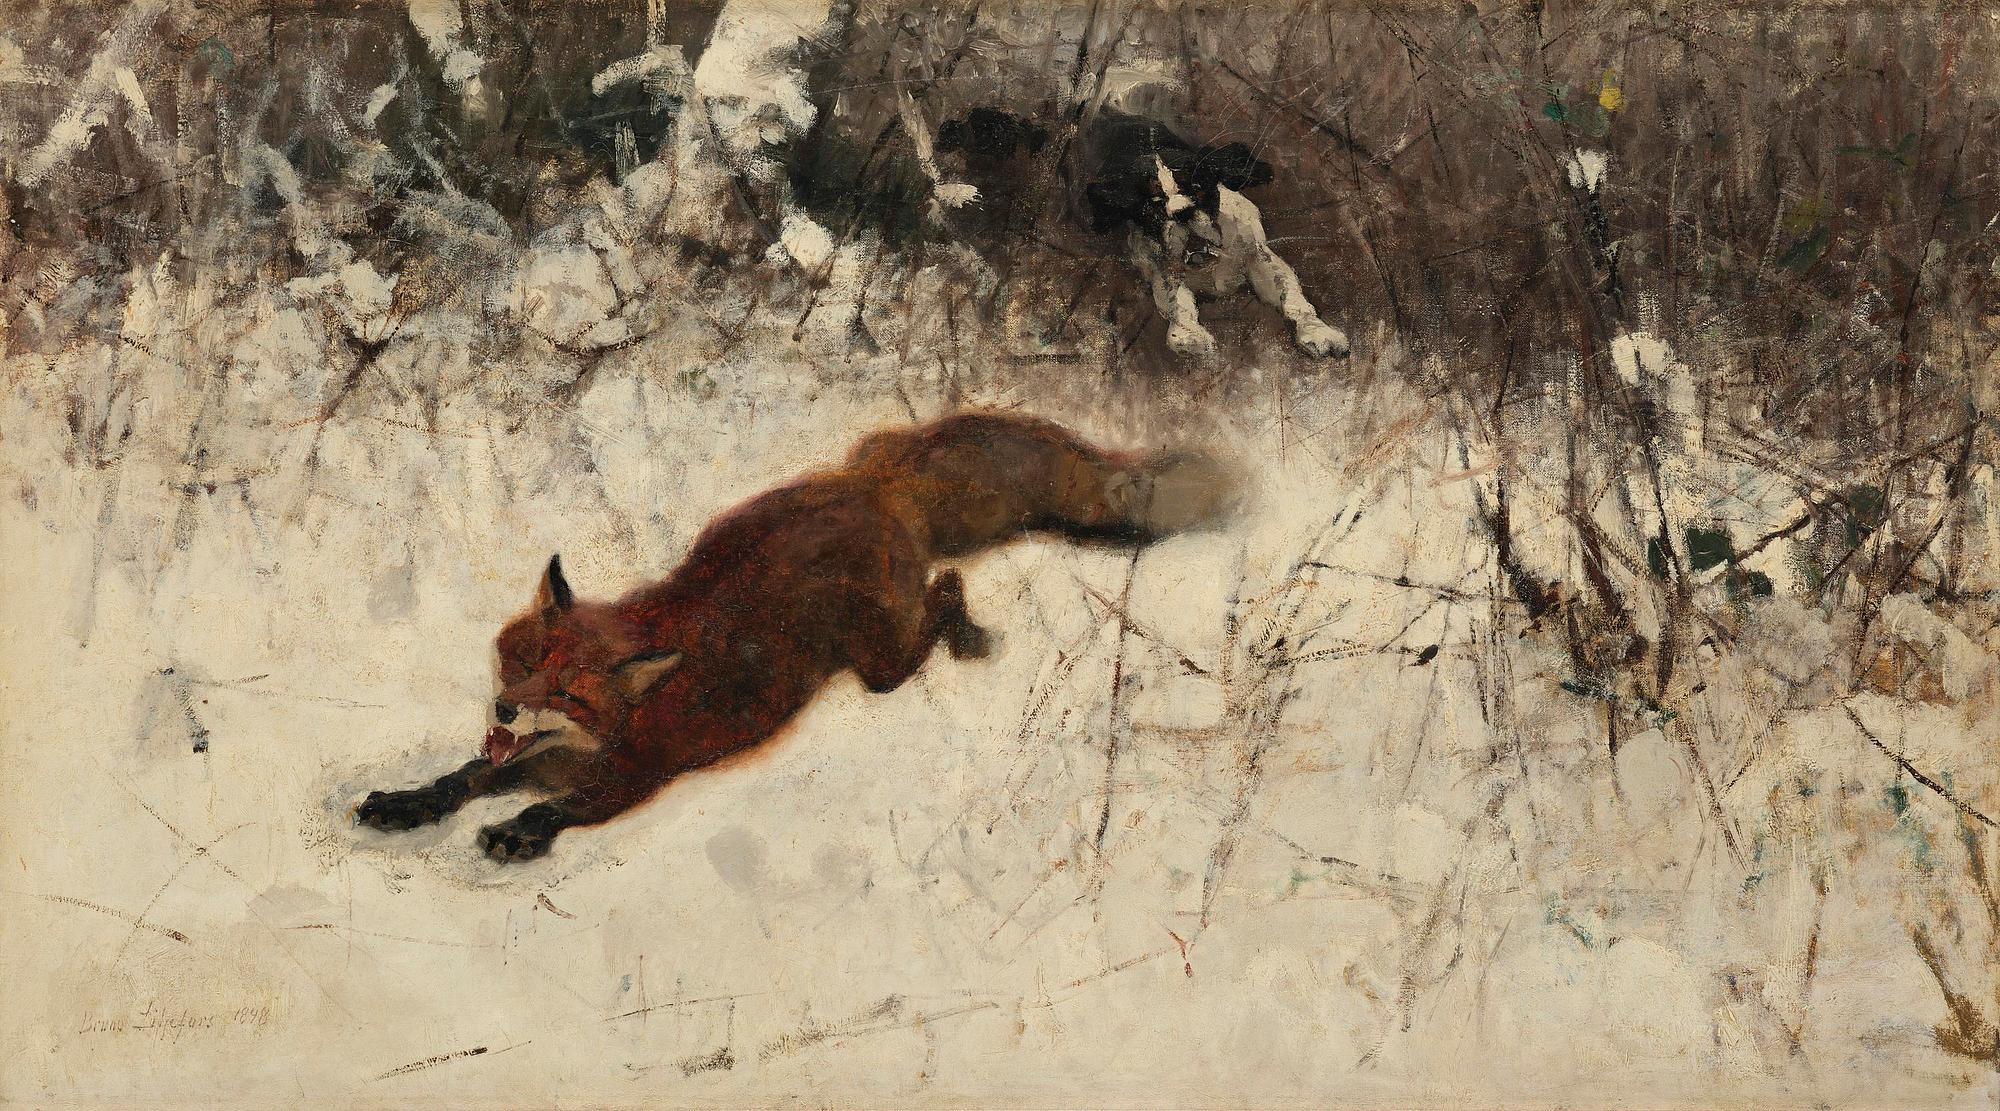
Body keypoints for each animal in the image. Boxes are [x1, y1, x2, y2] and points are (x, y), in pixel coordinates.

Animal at [354, 410, 1231, 861]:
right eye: (527, 660)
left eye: (567, 691)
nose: (505, 708)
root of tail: (872, 484)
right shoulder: (520, 755)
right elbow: (458, 778)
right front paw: (404, 801)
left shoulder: (635, 778)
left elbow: (556, 809)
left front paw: (517, 830)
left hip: (879, 660)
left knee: (944, 593)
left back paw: (967, 629)